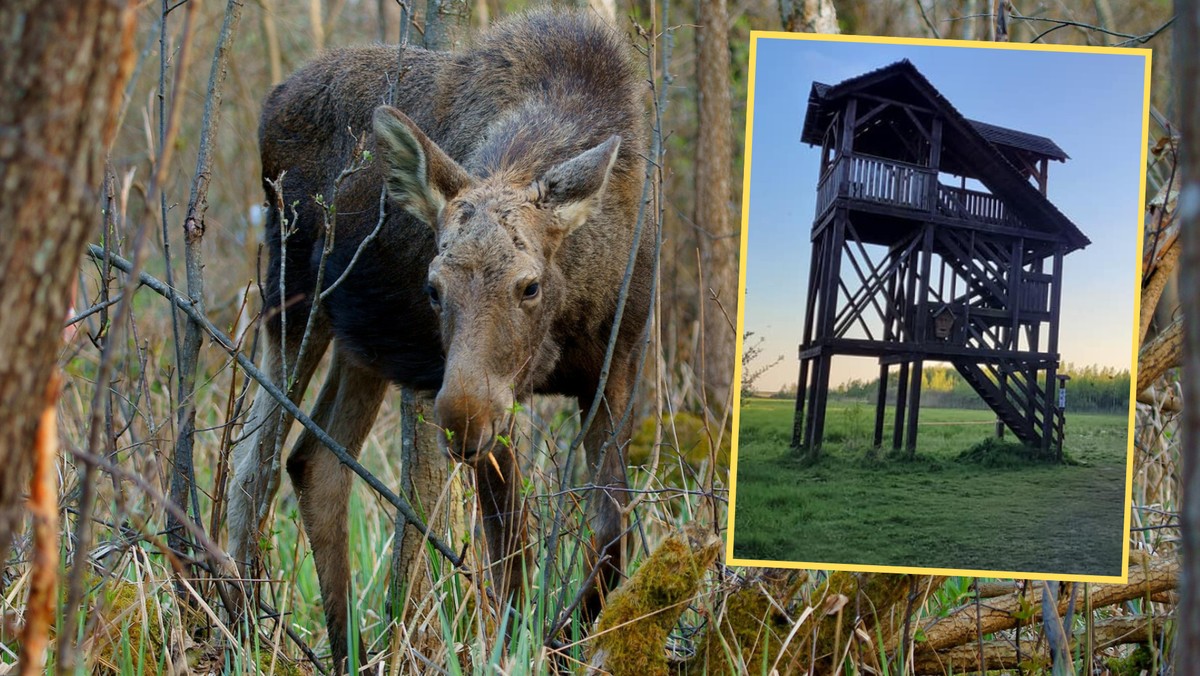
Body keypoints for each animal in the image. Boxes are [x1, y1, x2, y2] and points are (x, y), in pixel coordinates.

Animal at [228, 10, 652, 672]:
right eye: (433, 287)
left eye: (529, 285)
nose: (458, 419)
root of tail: (272, 102)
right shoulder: (500, 402)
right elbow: (511, 555)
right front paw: (521, 647)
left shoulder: (616, 367)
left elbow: (612, 534)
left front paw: (564, 638)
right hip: (290, 302)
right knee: (253, 469)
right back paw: (244, 636)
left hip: (363, 342)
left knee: (313, 461)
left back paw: (348, 649)